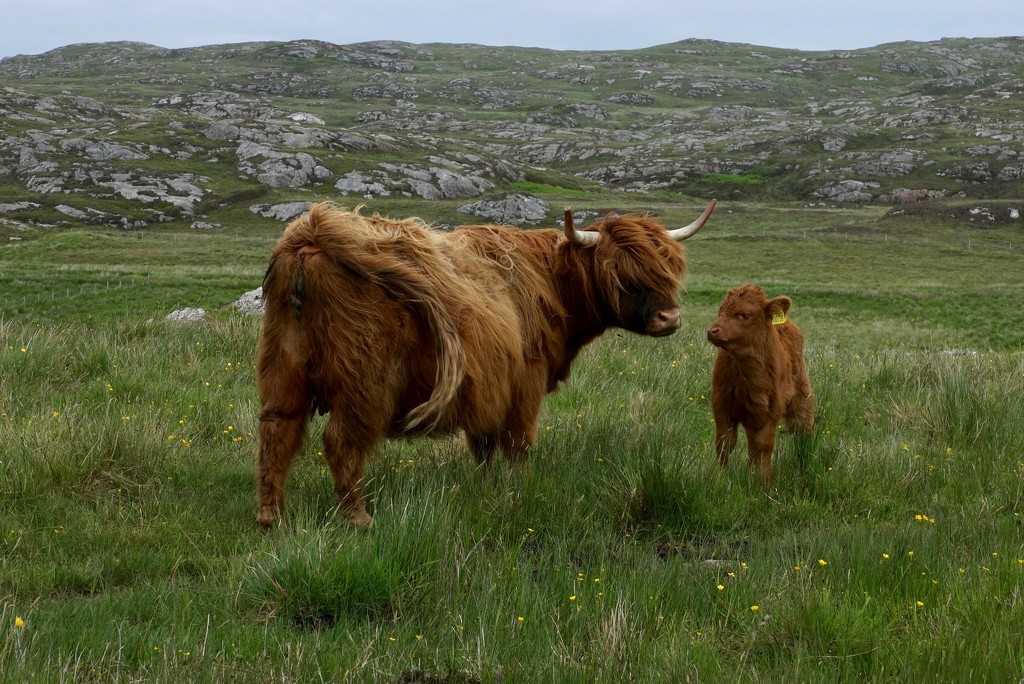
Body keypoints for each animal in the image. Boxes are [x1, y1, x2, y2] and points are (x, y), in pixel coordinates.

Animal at [254, 198, 716, 528]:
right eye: (622, 274)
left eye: (669, 268)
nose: (669, 318)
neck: (550, 278)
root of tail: (315, 235)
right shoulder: (525, 381)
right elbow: (518, 444)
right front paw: (520, 491)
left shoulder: (487, 390)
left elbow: (483, 447)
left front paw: (484, 489)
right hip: (364, 381)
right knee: (341, 442)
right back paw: (358, 518)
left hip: (283, 363)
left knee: (278, 429)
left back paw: (270, 517)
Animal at [704, 282, 815, 481]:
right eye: (721, 311)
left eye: (744, 314)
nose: (712, 331)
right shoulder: (721, 404)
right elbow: (724, 443)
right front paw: (721, 478)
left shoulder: (772, 409)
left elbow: (764, 446)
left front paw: (764, 480)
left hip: (802, 400)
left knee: (802, 435)